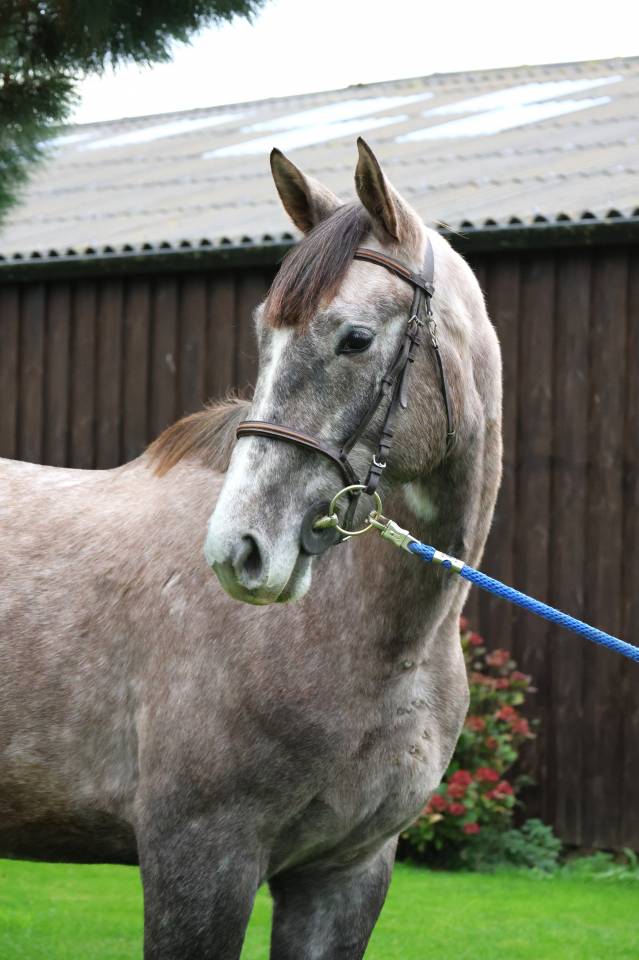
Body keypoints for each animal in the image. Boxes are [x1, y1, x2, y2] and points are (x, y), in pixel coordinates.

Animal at [0, 139, 502, 959]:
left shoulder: (345, 873)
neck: (385, 646)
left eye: (355, 338)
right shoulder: (203, 857)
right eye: (264, 334)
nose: (240, 549)